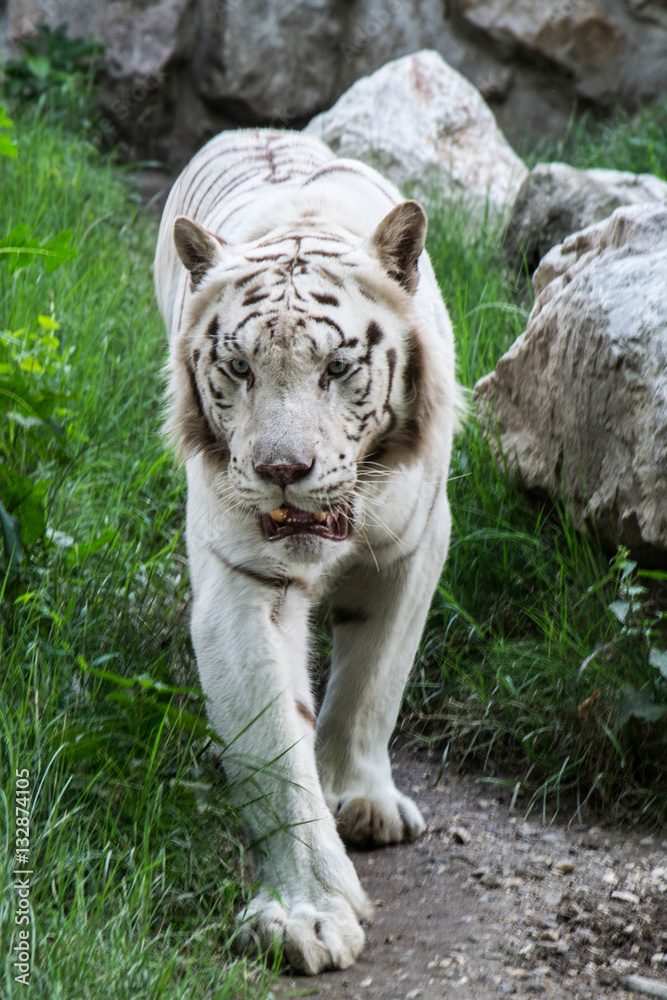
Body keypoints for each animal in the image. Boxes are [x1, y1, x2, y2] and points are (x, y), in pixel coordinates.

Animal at [154, 129, 461, 975]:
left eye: (337, 367)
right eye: (238, 367)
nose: (282, 470)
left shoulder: (416, 542)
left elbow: (372, 681)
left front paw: (359, 798)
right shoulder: (241, 579)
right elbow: (271, 752)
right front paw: (306, 914)